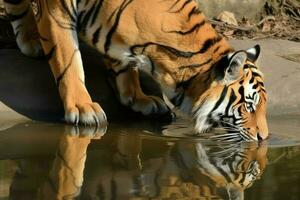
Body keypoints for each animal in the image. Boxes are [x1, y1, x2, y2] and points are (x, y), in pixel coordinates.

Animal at [3, 0, 268, 141]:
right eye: (248, 106)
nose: (264, 138)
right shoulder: (58, 10)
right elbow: (69, 61)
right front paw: (82, 108)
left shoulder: (116, 34)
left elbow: (124, 65)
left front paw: (138, 98)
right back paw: (32, 41)